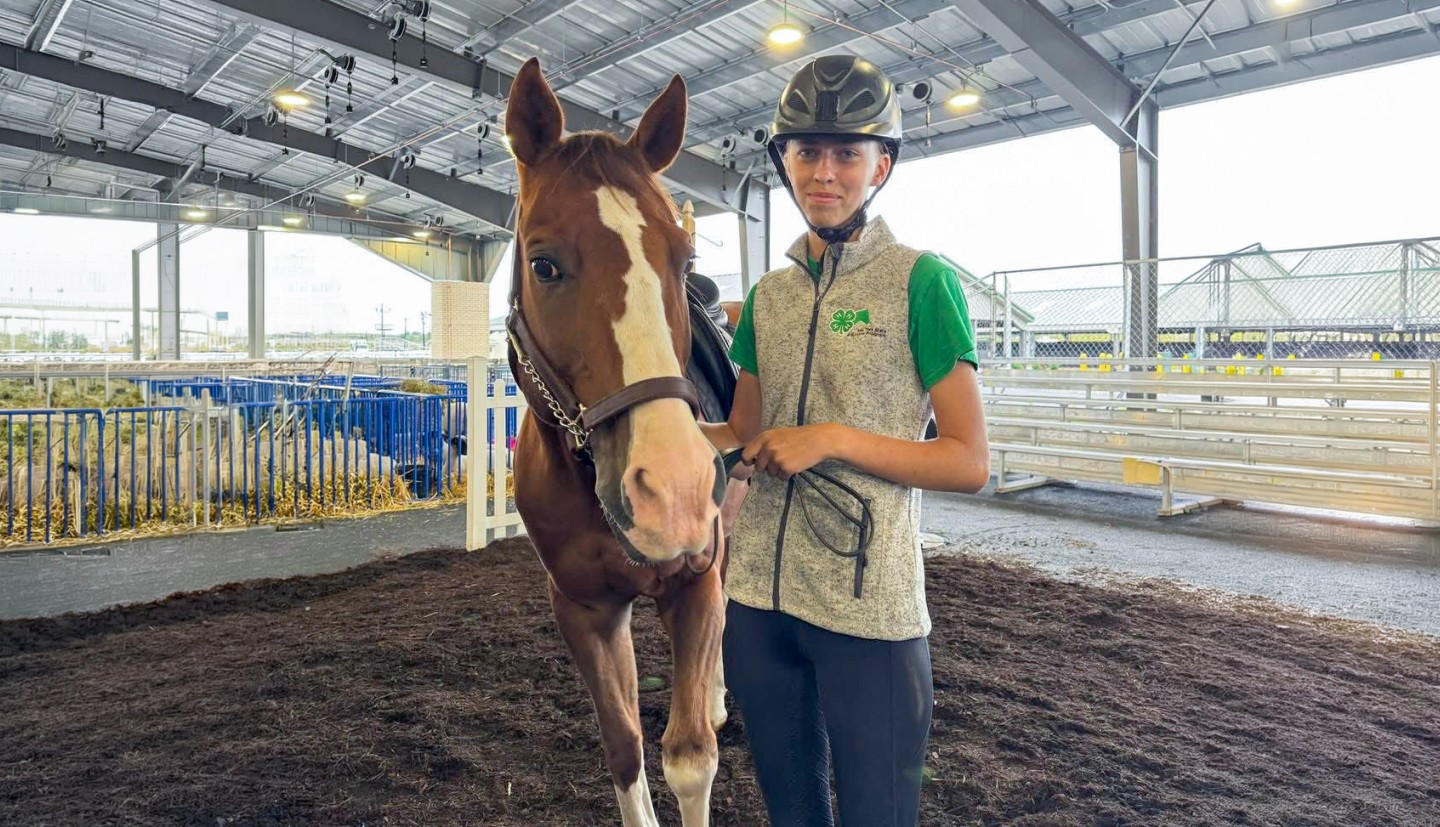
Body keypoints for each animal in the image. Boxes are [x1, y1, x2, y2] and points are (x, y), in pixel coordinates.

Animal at [504, 57, 735, 826]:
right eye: (543, 264)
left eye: (682, 256)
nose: (676, 489)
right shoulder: (585, 612)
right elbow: (625, 746)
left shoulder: (694, 580)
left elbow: (689, 758)